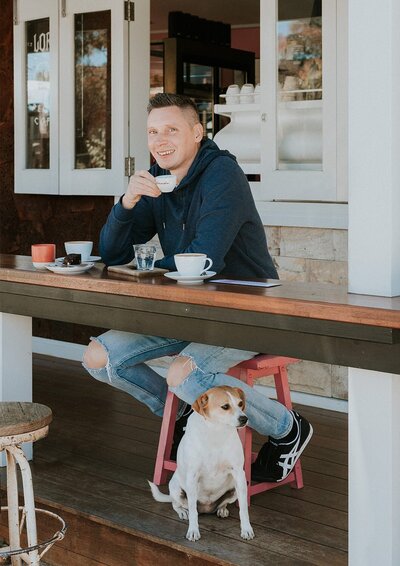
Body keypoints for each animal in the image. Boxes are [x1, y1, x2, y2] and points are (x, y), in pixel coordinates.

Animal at [148, 388, 255, 544]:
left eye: (240, 404)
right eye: (225, 406)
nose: (244, 419)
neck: (216, 431)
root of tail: (206, 509)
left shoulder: (239, 474)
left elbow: (244, 510)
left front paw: (246, 529)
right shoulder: (193, 476)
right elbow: (193, 511)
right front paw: (193, 530)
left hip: (234, 489)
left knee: (223, 503)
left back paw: (222, 509)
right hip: (176, 489)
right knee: (177, 504)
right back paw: (182, 511)